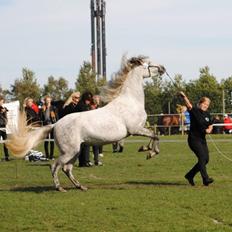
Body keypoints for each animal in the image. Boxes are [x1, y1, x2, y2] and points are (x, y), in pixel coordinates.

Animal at [6, 55, 166, 192]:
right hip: (69, 151)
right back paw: (60, 188)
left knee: (67, 169)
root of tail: (55, 125)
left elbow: (154, 134)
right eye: (148, 64)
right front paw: (150, 152)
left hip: (75, 151)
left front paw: (145, 149)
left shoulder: (138, 129)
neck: (131, 101)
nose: (163, 68)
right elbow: (155, 135)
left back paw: (80, 186)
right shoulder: (135, 129)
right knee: (55, 166)